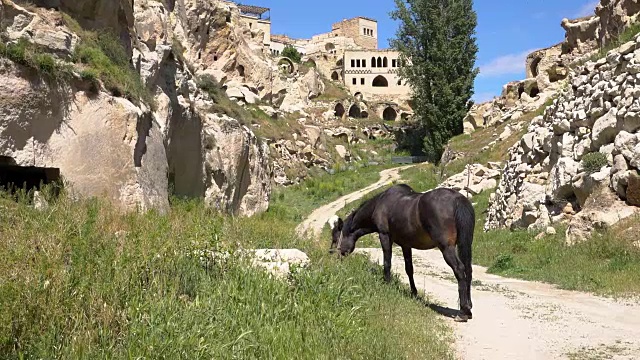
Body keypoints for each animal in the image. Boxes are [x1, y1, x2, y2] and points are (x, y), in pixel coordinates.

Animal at [330, 184, 476, 322]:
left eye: (335, 238)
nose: (333, 254)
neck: (379, 203)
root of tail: (458, 199)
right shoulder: (406, 245)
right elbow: (409, 269)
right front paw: (414, 293)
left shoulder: (384, 236)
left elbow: (387, 263)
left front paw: (387, 284)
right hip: (465, 243)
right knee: (468, 269)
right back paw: (469, 307)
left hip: (446, 247)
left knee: (459, 269)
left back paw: (463, 312)